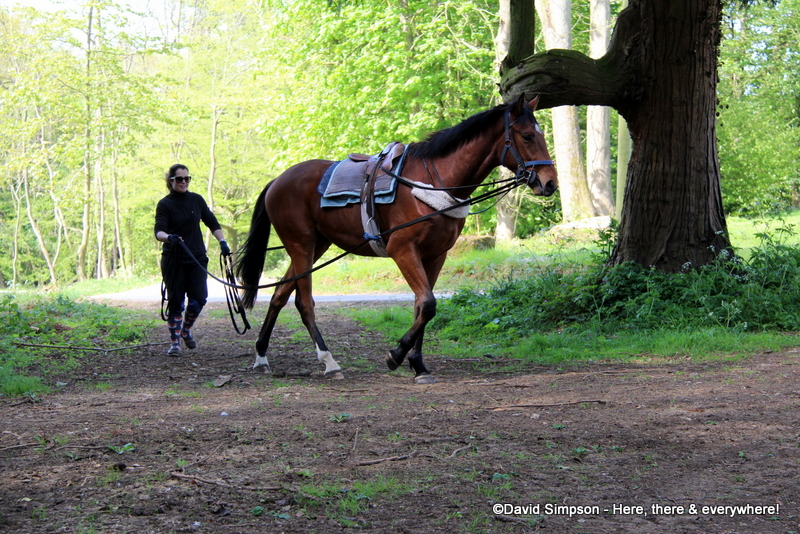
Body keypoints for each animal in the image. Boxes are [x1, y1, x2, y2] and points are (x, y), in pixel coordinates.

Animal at [235, 95, 557, 384]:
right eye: (527, 136)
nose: (550, 182)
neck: (433, 182)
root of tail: (277, 181)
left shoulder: (435, 255)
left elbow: (421, 306)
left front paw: (418, 365)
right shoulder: (402, 250)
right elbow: (428, 303)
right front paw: (397, 355)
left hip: (314, 246)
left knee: (279, 294)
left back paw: (262, 356)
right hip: (301, 244)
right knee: (304, 303)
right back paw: (329, 361)